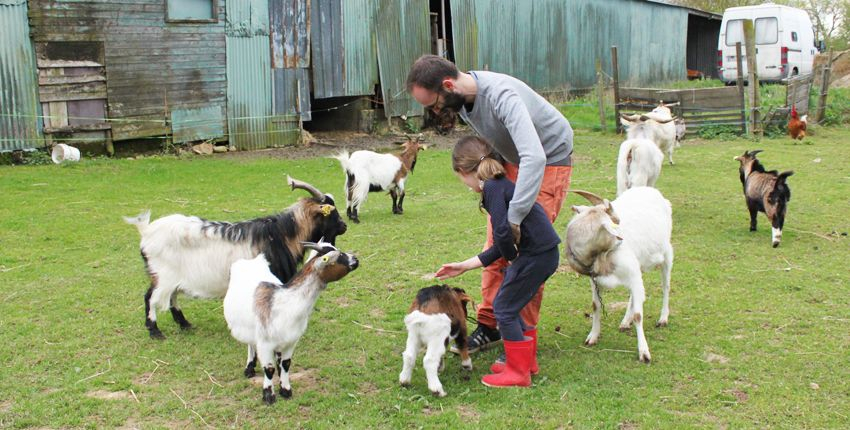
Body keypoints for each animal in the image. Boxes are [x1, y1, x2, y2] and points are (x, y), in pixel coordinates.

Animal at [121, 176, 344, 338]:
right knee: (151, 297)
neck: (281, 235)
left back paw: (185, 324)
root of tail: (146, 231)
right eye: (332, 212)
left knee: (171, 297)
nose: (344, 226)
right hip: (162, 276)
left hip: (172, 277)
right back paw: (155, 331)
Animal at [222, 240, 358, 404]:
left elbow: (286, 364)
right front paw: (268, 396)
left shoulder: (291, 341)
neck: (285, 303)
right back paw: (249, 369)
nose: (356, 260)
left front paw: (285, 389)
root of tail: (250, 261)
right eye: (339, 256)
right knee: (251, 344)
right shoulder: (265, 343)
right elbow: (269, 369)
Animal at [564, 188, 676, 362]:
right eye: (613, 227)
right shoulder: (595, 280)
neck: (602, 257)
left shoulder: (633, 273)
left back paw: (663, 319)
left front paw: (644, 352)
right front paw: (592, 337)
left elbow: (638, 314)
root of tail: (652, 190)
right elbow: (596, 306)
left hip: (666, 254)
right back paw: (625, 321)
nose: (622, 240)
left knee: (666, 286)